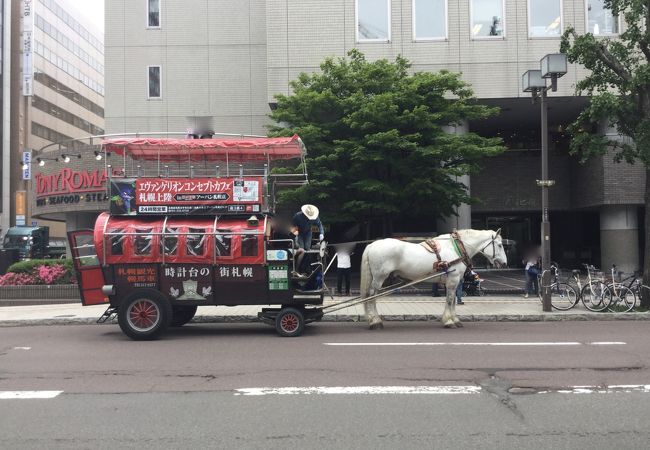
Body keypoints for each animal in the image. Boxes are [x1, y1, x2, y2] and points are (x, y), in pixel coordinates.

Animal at [360, 230, 506, 328]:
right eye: (499, 245)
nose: (504, 263)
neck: (456, 248)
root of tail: (372, 245)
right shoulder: (452, 280)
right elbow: (450, 300)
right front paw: (449, 321)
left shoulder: (453, 281)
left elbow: (453, 301)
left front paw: (455, 320)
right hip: (379, 278)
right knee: (371, 296)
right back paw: (375, 322)